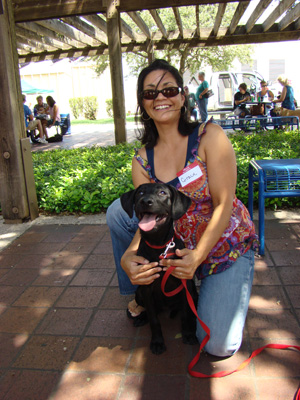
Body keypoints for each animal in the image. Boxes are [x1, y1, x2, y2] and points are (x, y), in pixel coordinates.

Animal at [120, 183, 198, 354]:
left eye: (162, 193)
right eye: (140, 193)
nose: (145, 201)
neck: (159, 247)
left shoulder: (184, 284)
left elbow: (186, 314)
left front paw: (188, 334)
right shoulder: (147, 288)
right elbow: (154, 320)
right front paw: (157, 342)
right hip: (139, 293)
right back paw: (141, 317)